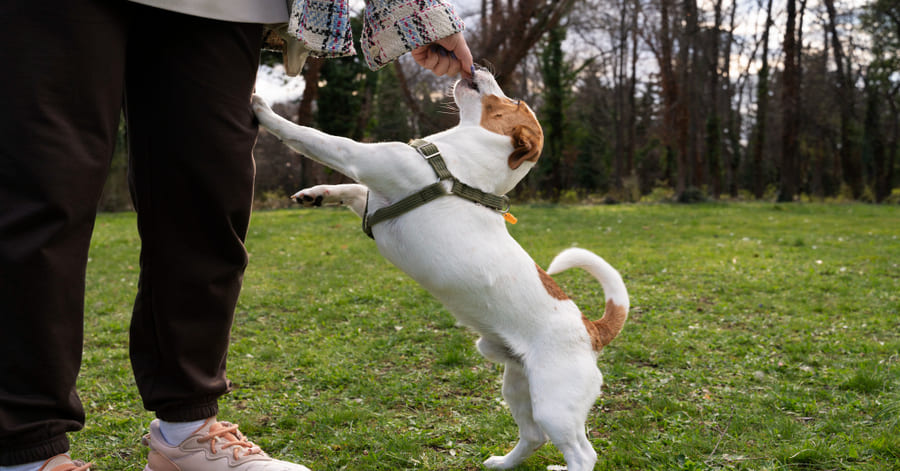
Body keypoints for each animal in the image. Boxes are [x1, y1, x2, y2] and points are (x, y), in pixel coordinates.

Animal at [253, 69, 628, 471]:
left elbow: (312, 137)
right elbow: (350, 189)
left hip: (554, 405)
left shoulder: (364, 158)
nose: (478, 68)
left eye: (513, 101)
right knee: (533, 437)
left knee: (582, 452)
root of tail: (592, 330)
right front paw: (317, 194)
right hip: (517, 387)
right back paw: (503, 463)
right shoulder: (373, 197)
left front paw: (262, 108)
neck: (458, 168)